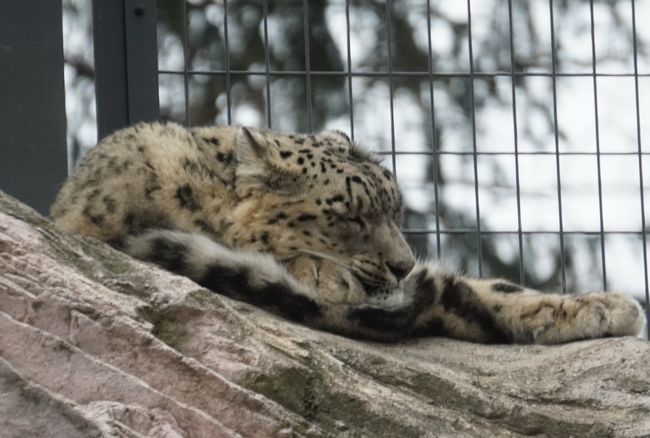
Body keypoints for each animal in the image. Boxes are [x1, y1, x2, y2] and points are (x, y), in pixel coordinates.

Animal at [50, 121, 644, 344]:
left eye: (396, 212)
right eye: (350, 215)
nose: (404, 265)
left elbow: (492, 292)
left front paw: (604, 306)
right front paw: (322, 274)